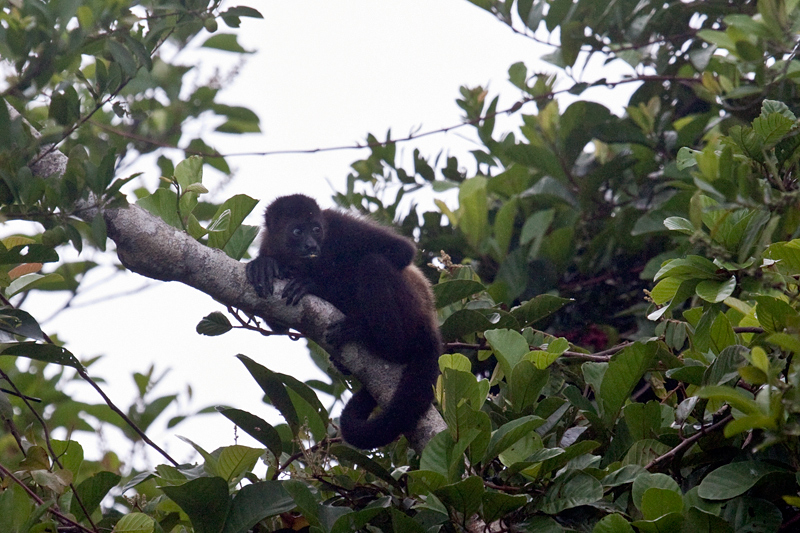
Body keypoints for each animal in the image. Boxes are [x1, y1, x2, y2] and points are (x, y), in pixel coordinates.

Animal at [247, 193, 440, 446]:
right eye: (297, 231)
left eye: (316, 229)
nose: (311, 245)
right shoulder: (268, 245)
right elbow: (277, 324)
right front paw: (264, 266)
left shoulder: (340, 225)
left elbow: (400, 250)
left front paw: (313, 283)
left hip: (411, 313)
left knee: (373, 265)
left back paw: (373, 338)